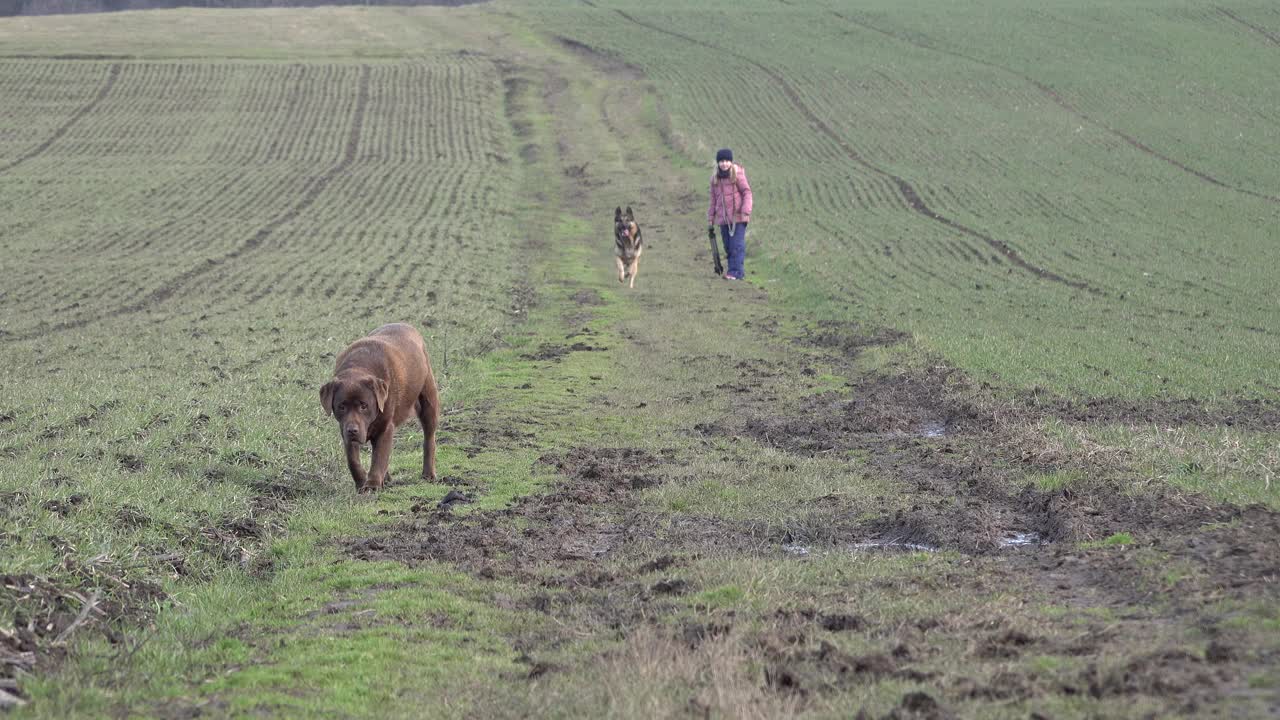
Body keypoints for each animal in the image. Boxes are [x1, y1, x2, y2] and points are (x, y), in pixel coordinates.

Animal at [320, 322, 440, 489]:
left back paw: (428, 474)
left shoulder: (385, 428)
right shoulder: (345, 429)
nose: (352, 431)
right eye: (341, 407)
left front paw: (372, 485)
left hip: (428, 400)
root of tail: (407, 325)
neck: (359, 367)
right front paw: (361, 483)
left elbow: (379, 457)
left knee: (429, 438)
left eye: (364, 406)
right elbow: (353, 460)